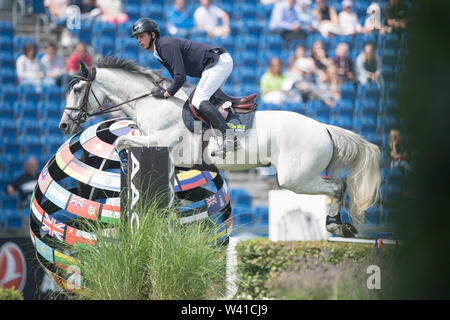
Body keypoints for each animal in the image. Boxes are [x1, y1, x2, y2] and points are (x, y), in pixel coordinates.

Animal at [59, 58, 380, 238]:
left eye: (77, 89)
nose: (64, 124)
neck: (152, 102)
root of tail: (324, 128)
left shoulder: (159, 142)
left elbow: (122, 142)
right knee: (338, 186)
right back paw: (340, 225)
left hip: (295, 178)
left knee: (337, 186)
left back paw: (335, 225)